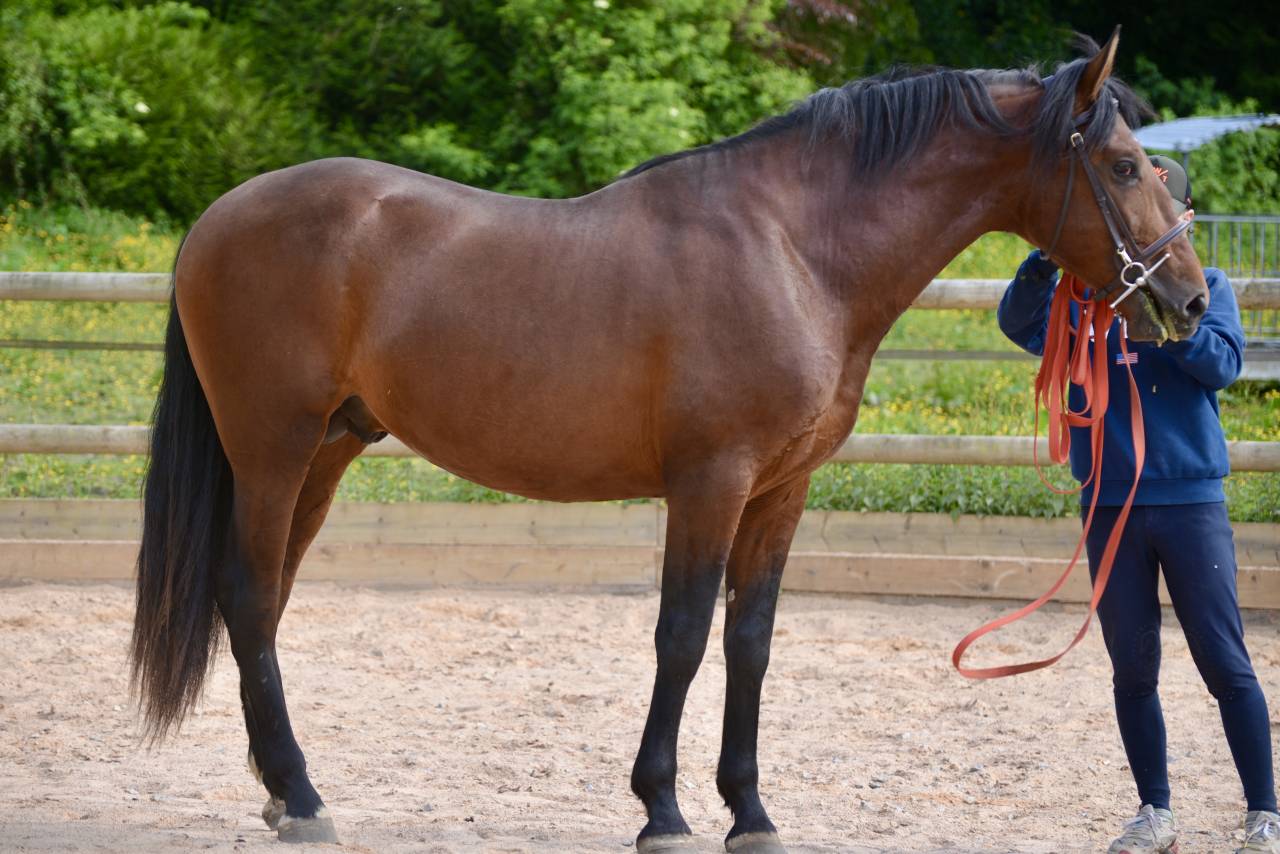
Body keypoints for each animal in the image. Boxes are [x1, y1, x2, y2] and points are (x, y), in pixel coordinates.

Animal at [130, 29, 1207, 852]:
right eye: (1123, 166)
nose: (1187, 300)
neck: (792, 249)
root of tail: (215, 219)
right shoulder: (710, 481)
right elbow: (682, 635)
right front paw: (663, 808)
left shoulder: (779, 491)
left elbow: (749, 640)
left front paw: (751, 811)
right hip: (271, 449)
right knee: (247, 596)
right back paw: (305, 796)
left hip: (325, 450)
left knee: (265, 603)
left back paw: (281, 793)